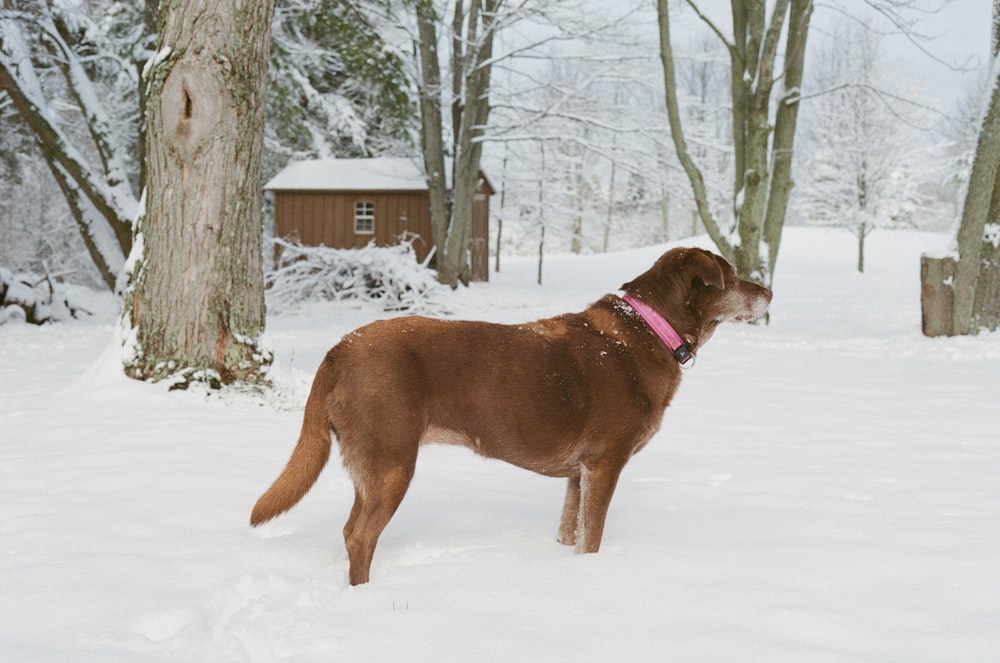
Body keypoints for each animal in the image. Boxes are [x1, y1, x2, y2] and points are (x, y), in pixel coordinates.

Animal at [252, 246, 772, 584]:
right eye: (731, 274)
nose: (768, 291)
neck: (648, 329)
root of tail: (340, 348)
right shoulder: (605, 463)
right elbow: (593, 536)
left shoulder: (578, 474)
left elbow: (570, 530)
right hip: (392, 463)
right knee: (360, 537)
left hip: (372, 465)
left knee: (348, 530)